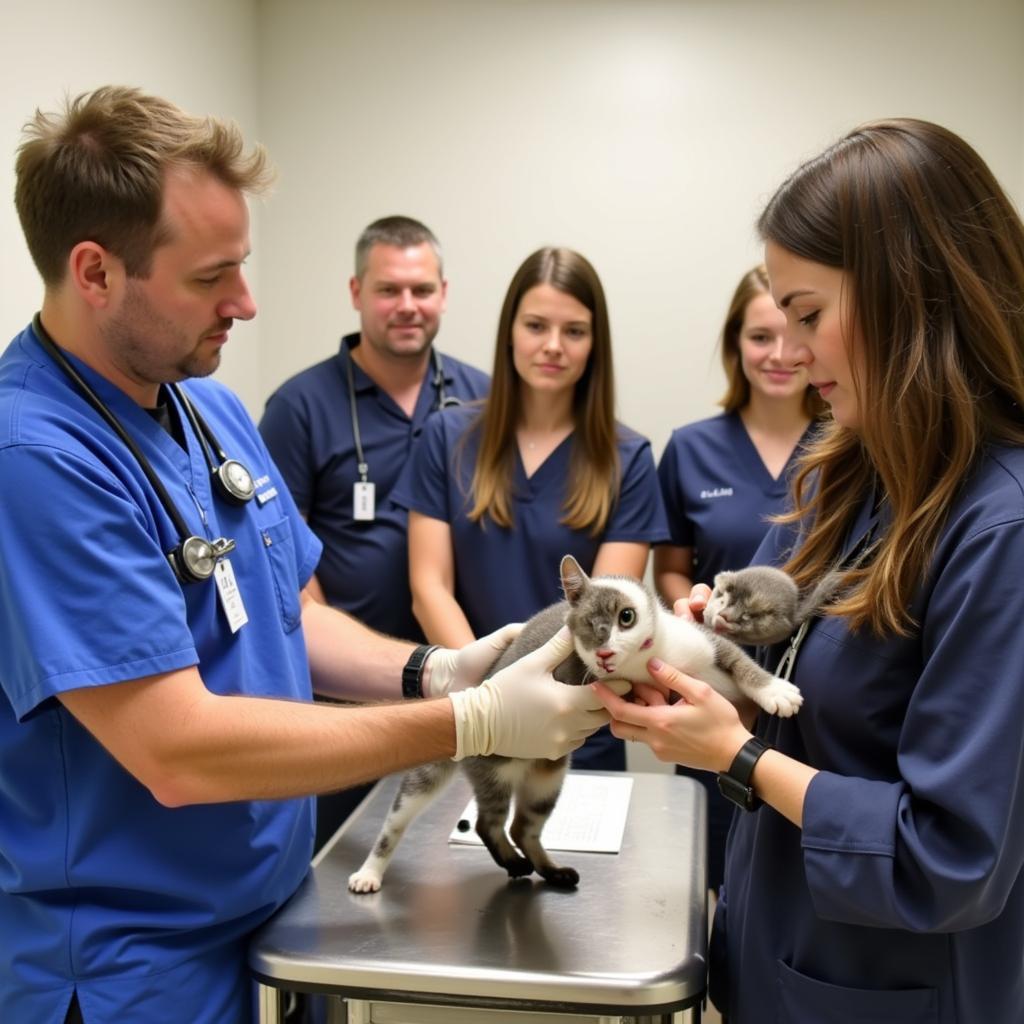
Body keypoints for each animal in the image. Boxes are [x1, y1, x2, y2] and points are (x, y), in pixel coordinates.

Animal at [348, 557, 802, 892]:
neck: (650, 661)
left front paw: (773, 690)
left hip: (547, 776)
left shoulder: (707, 642)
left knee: (523, 825)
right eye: (586, 626)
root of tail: (471, 690)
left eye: (625, 617)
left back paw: (550, 870)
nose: (603, 655)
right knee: (483, 822)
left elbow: (741, 663)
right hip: (493, 770)